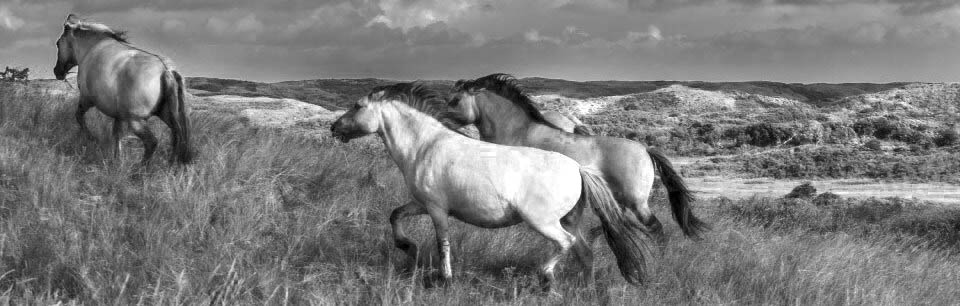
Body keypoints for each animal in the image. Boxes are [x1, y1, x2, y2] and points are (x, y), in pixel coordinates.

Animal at [52, 13, 193, 165]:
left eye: (58, 43)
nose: (57, 72)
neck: (92, 47)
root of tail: (166, 71)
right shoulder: (118, 114)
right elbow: (117, 135)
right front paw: (117, 160)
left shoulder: (86, 98)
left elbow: (79, 117)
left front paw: (92, 138)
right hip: (165, 114)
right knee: (176, 137)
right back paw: (170, 165)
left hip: (136, 120)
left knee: (152, 142)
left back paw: (140, 168)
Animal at [330, 83, 652, 286]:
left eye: (357, 106)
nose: (334, 128)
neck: (425, 145)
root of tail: (578, 168)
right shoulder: (421, 203)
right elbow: (395, 215)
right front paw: (407, 246)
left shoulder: (436, 208)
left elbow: (442, 242)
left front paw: (445, 279)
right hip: (569, 219)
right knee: (584, 252)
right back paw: (584, 289)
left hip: (543, 221)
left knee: (566, 243)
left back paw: (546, 277)